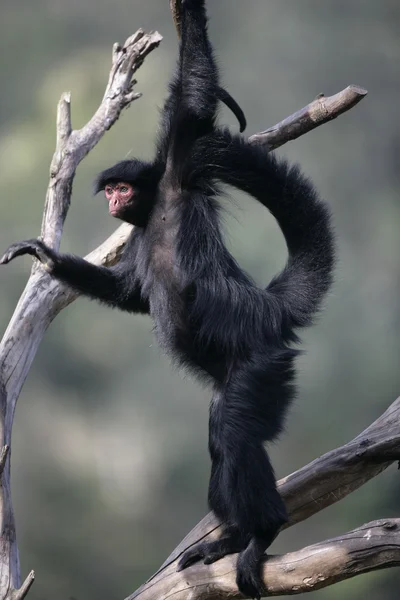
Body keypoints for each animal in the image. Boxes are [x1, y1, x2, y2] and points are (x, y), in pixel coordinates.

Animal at [1, 0, 336, 596]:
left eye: (122, 187)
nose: (114, 198)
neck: (154, 211)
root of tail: (269, 308)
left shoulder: (180, 169)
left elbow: (195, 102)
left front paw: (188, 12)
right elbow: (134, 294)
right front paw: (46, 257)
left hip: (262, 363)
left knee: (233, 433)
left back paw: (261, 532)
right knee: (220, 434)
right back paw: (232, 537)